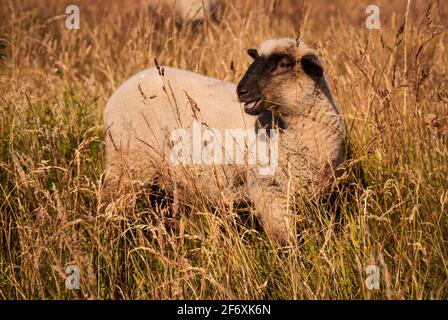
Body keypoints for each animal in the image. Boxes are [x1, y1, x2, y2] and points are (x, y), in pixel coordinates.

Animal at [104, 38, 346, 246]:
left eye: (284, 64)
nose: (241, 91)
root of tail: (126, 84)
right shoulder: (268, 190)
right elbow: (284, 241)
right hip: (127, 165)